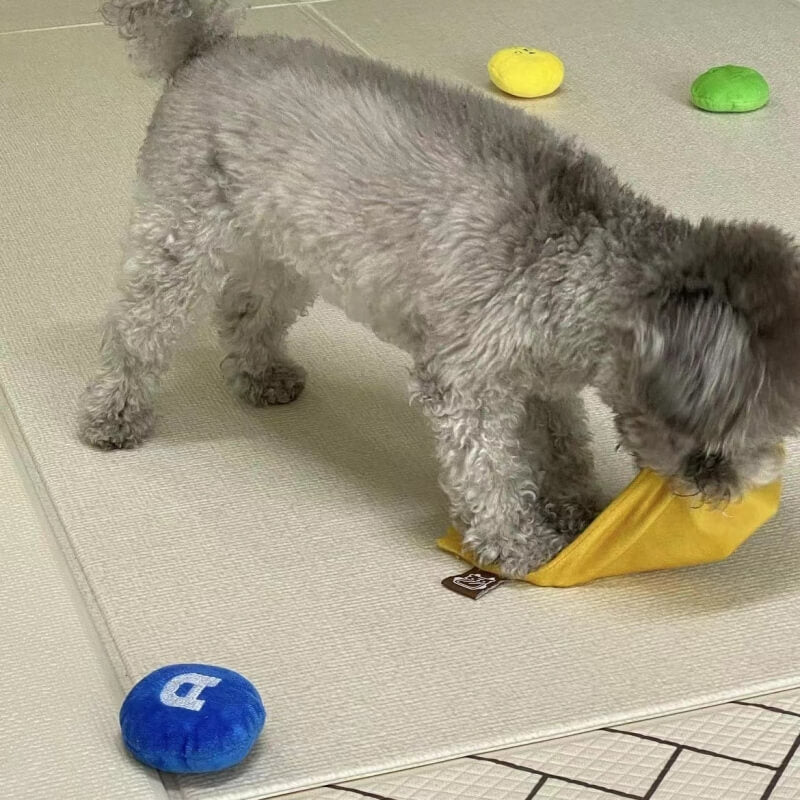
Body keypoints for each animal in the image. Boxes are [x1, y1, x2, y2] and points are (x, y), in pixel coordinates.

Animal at [81, 0, 800, 576]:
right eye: (721, 441)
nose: (736, 493)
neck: (583, 259)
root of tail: (207, 46)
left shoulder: (545, 380)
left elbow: (564, 445)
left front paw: (577, 505)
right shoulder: (466, 383)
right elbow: (490, 474)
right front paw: (518, 544)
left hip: (285, 251)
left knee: (245, 310)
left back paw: (261, 375)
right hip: (179, 238)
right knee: (135, 331)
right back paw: (114, 413)